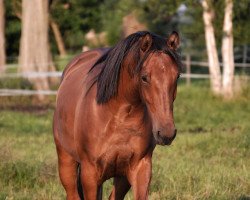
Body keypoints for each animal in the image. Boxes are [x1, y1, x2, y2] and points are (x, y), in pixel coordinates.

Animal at [53, 31, 182, 200]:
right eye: (144, 77)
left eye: (177, 76)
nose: (166, 133)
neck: (120, 118)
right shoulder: (90, 174)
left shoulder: (140, 169)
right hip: (67, 163)